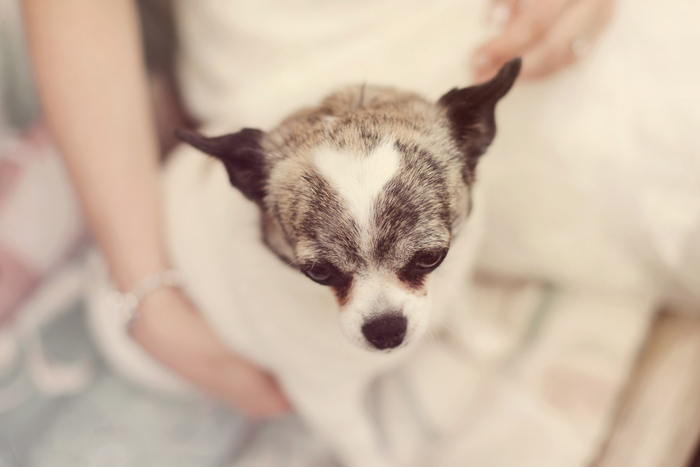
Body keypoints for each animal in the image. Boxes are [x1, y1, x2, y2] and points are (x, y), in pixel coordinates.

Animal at [94, 58, 520, 467]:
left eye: (431, 257)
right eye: (319, 272)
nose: (385, 329)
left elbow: (460, 306)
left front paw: (486, 342)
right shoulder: (325, 400)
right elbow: (362, 444)